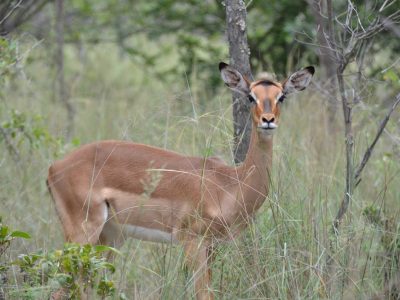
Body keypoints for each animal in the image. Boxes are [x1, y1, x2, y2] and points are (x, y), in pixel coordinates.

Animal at [47, 62, 314, 298]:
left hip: (111, 237)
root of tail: (54, 168)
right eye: (251, 97)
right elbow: (204, 294)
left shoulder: (213, 246)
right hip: (83, 234)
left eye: (281, 97)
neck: (229, 184)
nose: (268, 120)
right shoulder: (192, 242)